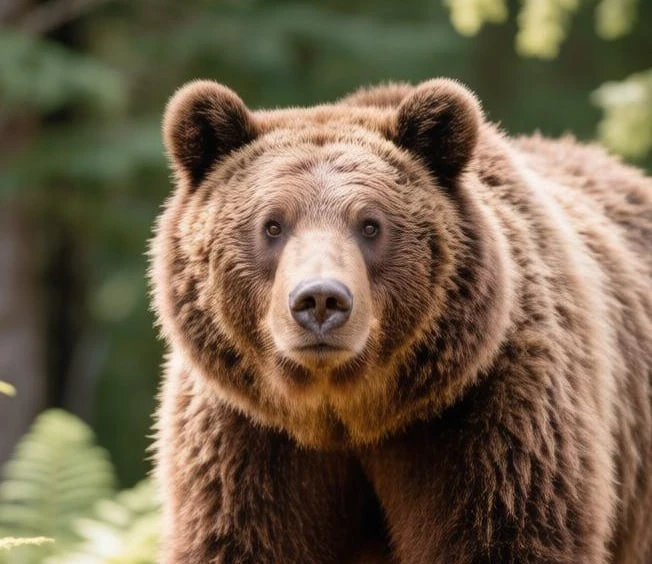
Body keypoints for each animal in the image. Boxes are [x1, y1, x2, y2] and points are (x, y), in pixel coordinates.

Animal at [149, 78, 652, 563]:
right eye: (272, 224)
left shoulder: (491, 413)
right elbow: (238, 538)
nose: (320, 300)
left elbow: (505, 530)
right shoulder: (243, 440)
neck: (345, 413)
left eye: (370, 225)